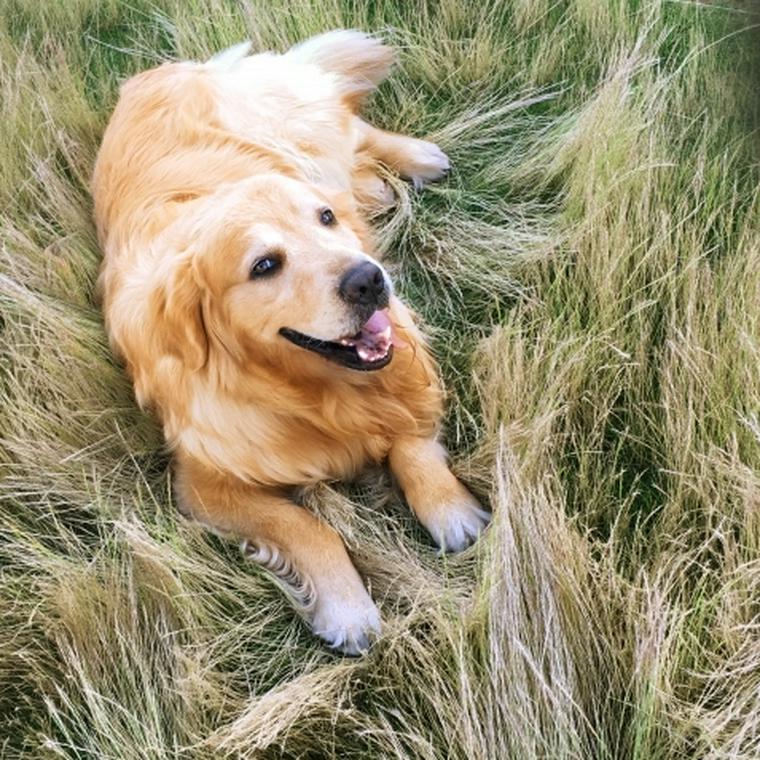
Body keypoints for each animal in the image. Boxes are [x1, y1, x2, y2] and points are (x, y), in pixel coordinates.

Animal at [92, 29, 490, 652]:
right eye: (264, 265)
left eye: (325, 219)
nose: (370, 279)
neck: (311, 391)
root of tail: (159, 73)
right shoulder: (206, 483)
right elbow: (305, 527)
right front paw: (347, 605)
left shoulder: (409, 359)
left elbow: (412, 437)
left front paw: (451, 508)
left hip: (302, 124)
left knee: (348, 120)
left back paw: (418, 156)